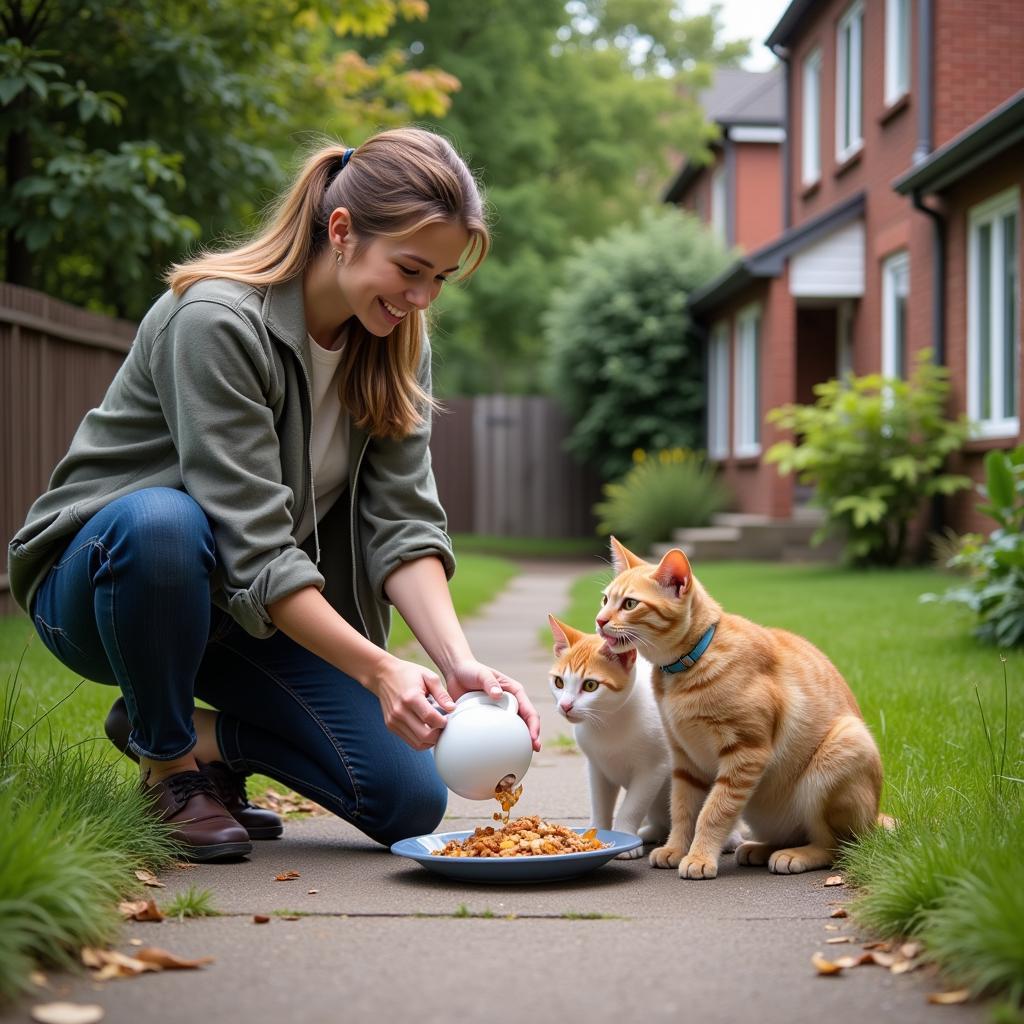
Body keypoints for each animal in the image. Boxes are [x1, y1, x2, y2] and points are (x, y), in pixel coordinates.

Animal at [598, 536, 884, 880]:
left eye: (629, 604)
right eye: (605, 600)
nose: (599, 621)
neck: (690, 663)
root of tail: (875, 819)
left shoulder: (746, 752)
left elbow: (714, 811)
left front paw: (699, 857)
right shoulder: (684, 757)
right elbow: (682, 809)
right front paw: (676, 849)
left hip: (842, 748)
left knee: (835, 846)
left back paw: (797, 855)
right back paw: (760, 849)